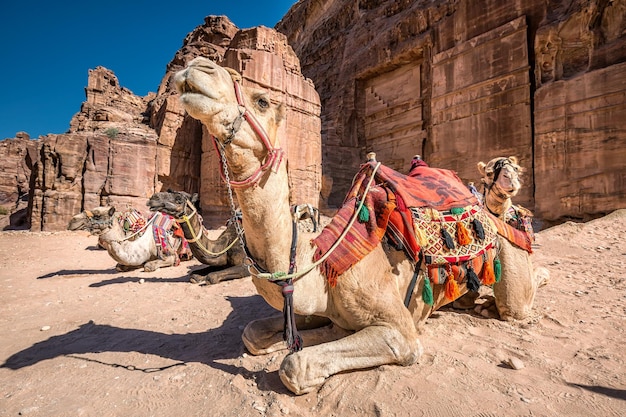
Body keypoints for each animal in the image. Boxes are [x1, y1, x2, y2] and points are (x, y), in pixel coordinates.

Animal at [171, 57, 540, 394]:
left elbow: (295, 365)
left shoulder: (399, 331)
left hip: (509, 255)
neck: (321, 259)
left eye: (262, 100)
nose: (197, 67)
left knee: (518, 302)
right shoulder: (316, 306)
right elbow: (254, 333)